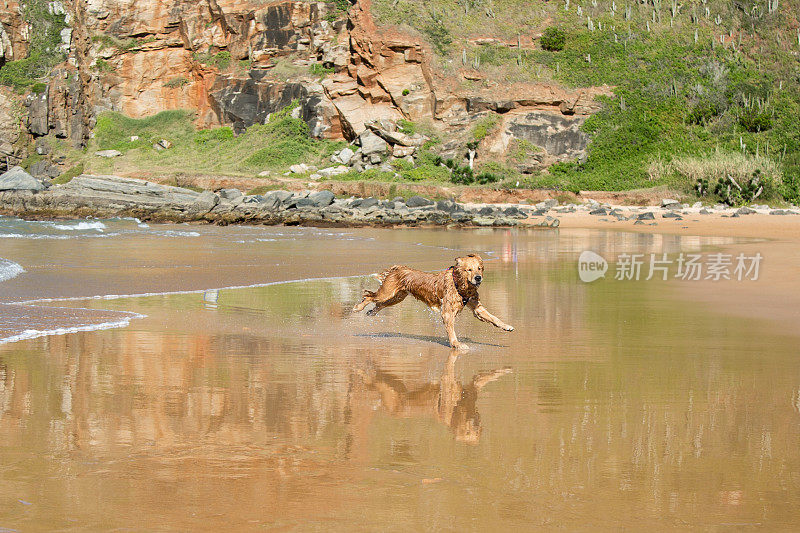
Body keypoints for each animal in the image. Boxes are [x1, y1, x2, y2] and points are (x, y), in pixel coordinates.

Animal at [354, 254, 516, 350]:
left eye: (479, 268)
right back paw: (358, 307)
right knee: (369, 296)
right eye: (469, 269)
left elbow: (493, 317)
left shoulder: (476, 306)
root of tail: (398, 269)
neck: (460, 284)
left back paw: (371, 312)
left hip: (397, 297)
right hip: (387, 293)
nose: (478, 278)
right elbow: (451, 329)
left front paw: (506, 326)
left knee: (379, 303)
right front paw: (456, 344)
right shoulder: (448, 311)